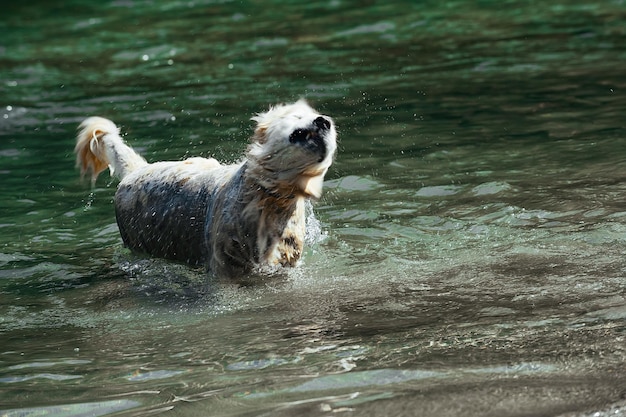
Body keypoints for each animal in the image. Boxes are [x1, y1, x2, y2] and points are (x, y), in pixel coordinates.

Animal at [74, 99, 336, 278]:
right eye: (298, 122)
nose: (323, 121)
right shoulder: (226, 265)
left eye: (312, 115)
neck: (268, 200)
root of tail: (136, 170)